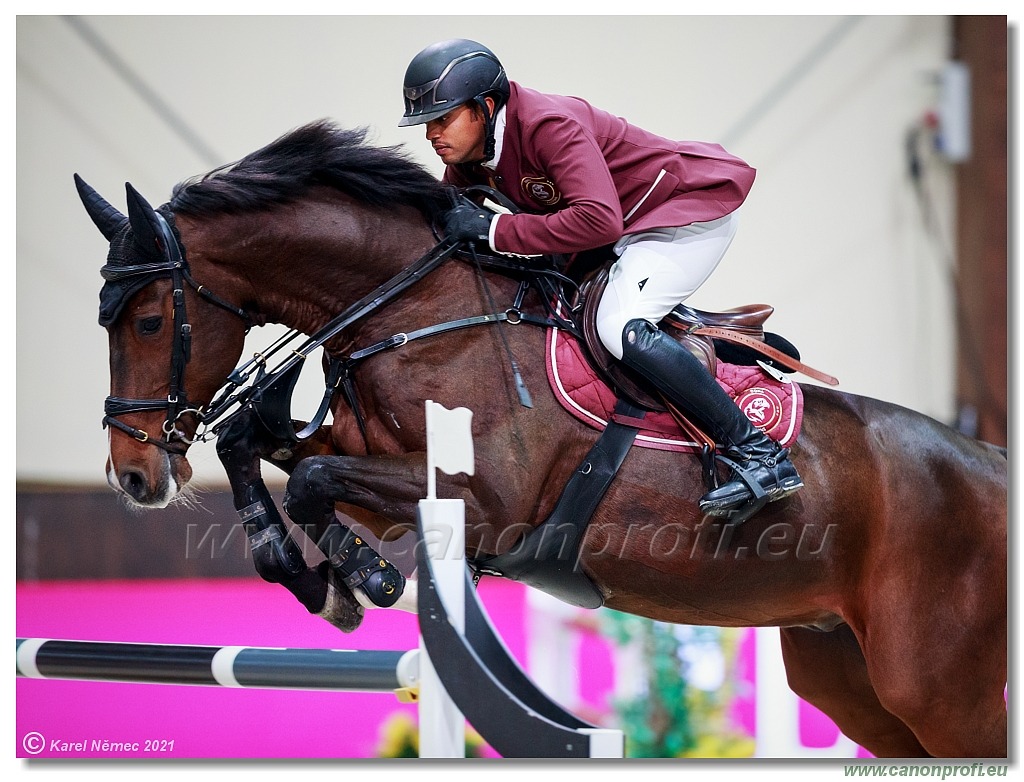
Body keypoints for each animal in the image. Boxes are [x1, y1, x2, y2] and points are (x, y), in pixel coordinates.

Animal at [77, 120, 1007, 757]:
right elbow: (257, 450)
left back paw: (756, 472)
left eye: (151, 319)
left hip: (935, 687)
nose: (133, 476)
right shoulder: (374, 468)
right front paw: (309, 576)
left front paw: (363, 578)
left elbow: (308, 481)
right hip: (849, 676)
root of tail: (991, 468)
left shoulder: (485, 504)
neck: (413, 309)